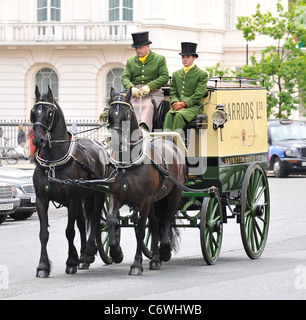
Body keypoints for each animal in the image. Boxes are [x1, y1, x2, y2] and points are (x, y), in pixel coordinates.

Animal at [31, 85, 108, 278]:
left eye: (50, 112)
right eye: (34, 112)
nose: (38, 140)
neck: (53, 161)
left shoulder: (72, 200)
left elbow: (69, 231)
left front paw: (71, 261)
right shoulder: (41, 200)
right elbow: (44, 234)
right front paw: (43, 266)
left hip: (98, 194)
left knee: (95, 219)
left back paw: (88, 251)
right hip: (82, 197)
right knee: (82, 223)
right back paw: (83, 256)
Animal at [105, 89, 186, 276]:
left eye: (127, 114)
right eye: (110, 115)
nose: (115, 142)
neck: (128, 164)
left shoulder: (144, 200)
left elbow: (140, 230)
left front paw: (136, 264)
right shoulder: (115, 196)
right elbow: (112, 220)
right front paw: (116, 252)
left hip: (173, 194)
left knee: (166, 219)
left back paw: (164, 250)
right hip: (154, 201)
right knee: (155, 224)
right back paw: (155, 259)